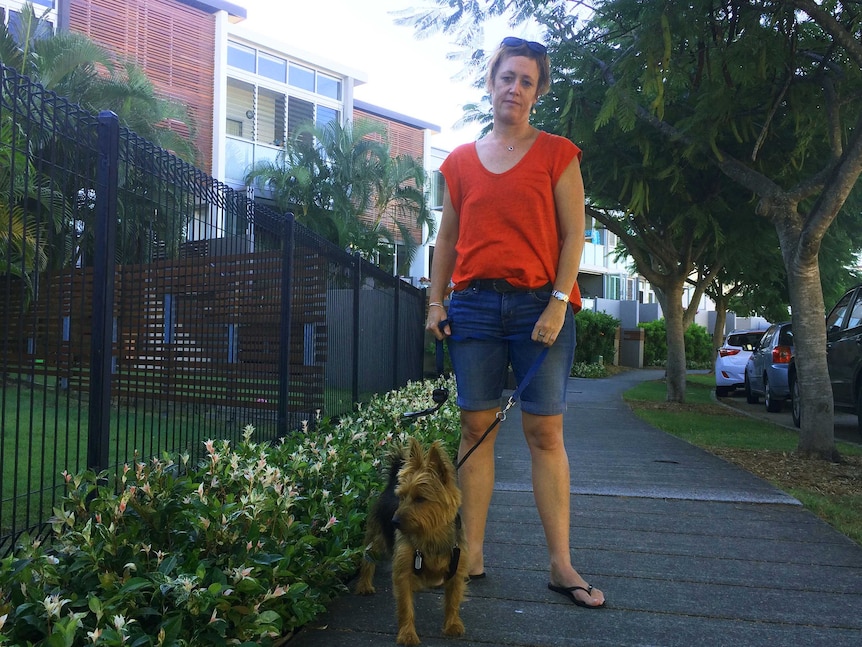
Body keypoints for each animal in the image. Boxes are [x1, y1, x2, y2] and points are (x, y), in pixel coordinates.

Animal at [354, 438, 470, 644]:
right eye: (402, 497)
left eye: (420, 499)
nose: (394, 521)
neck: (430, 534)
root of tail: (390, 483)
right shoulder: (403, 572)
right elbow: (405, 606)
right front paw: (407, 634)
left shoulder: (457, 568)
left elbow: (453, 598)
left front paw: (452, 625)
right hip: (376, 538)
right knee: (367, 558)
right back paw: (364, 584)